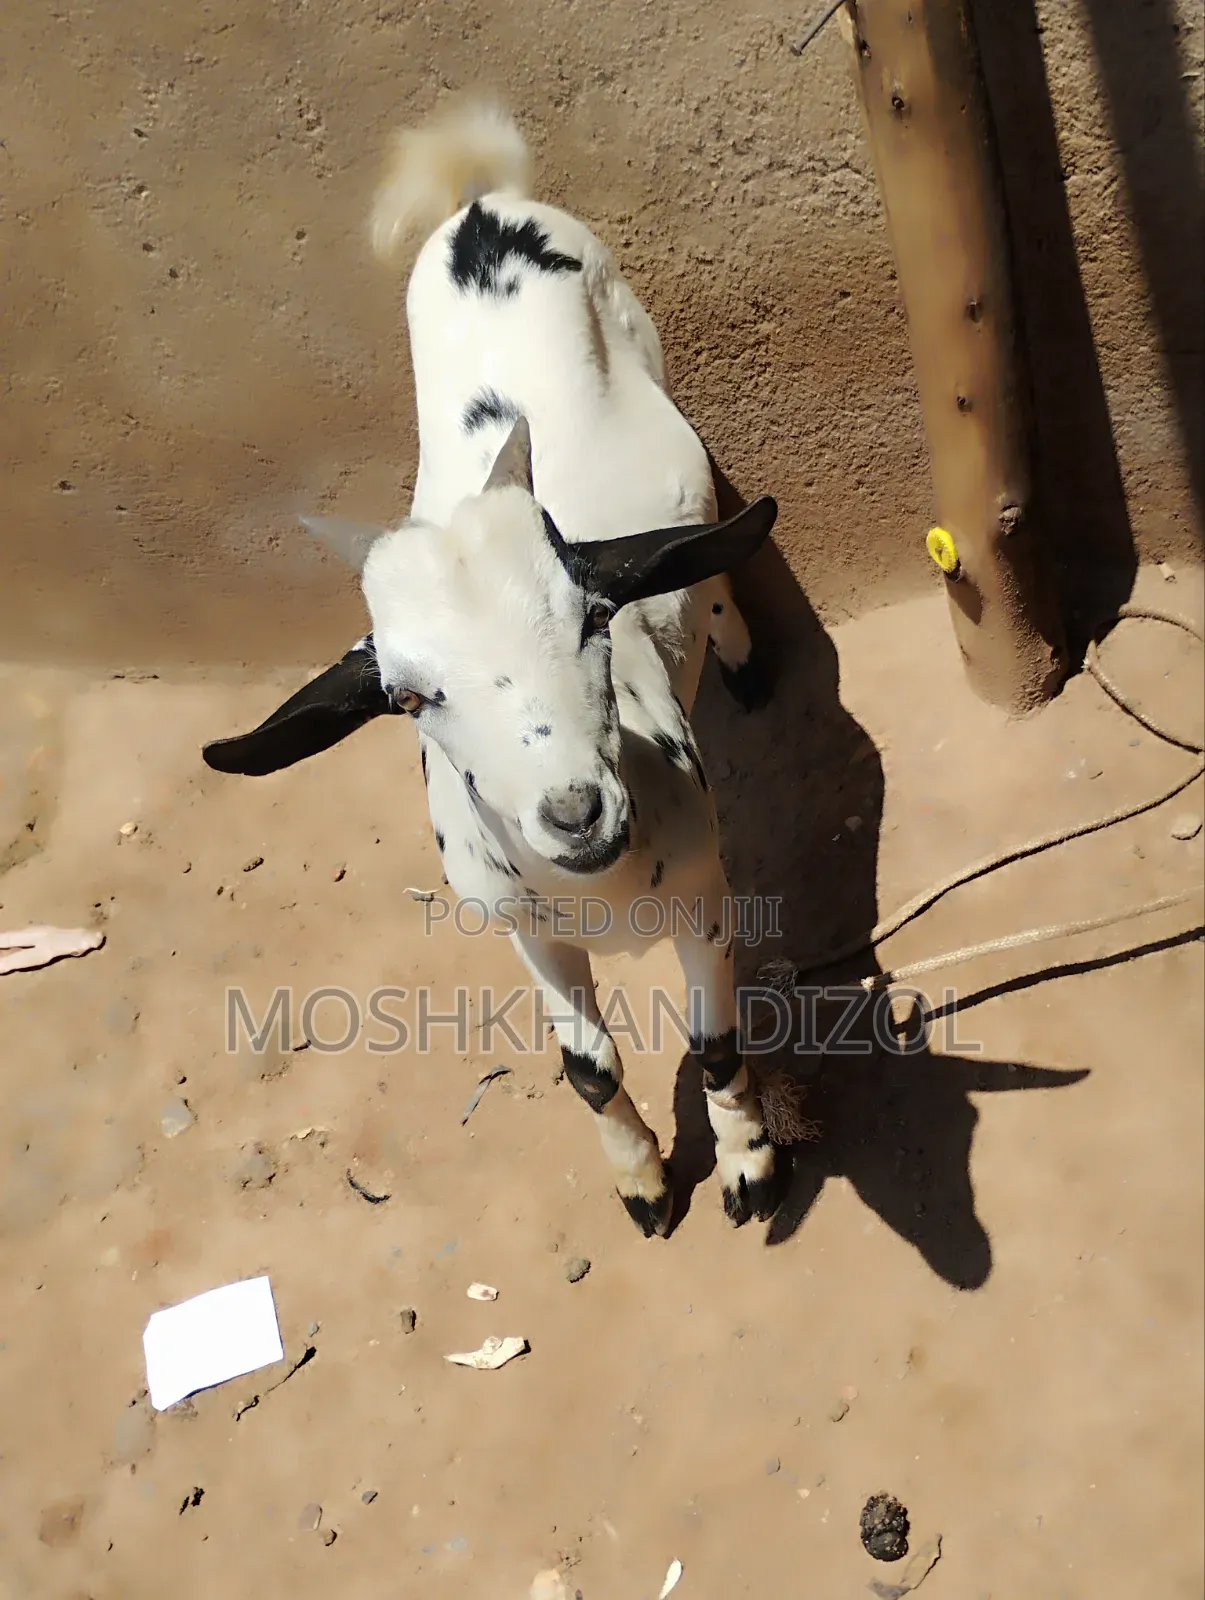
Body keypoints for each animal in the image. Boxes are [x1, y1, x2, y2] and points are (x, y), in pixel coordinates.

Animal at [203, 100, 785, 1235]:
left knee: (707, 531)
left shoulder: (706, 889)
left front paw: (746, 1165)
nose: (574, 813)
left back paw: (742, 654)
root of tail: (477, 209)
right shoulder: (524, 932)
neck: (604, 892)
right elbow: (588, 1068)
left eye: (594, 616)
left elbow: (715, 1042)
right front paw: (643, 1183)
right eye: (405, 696)